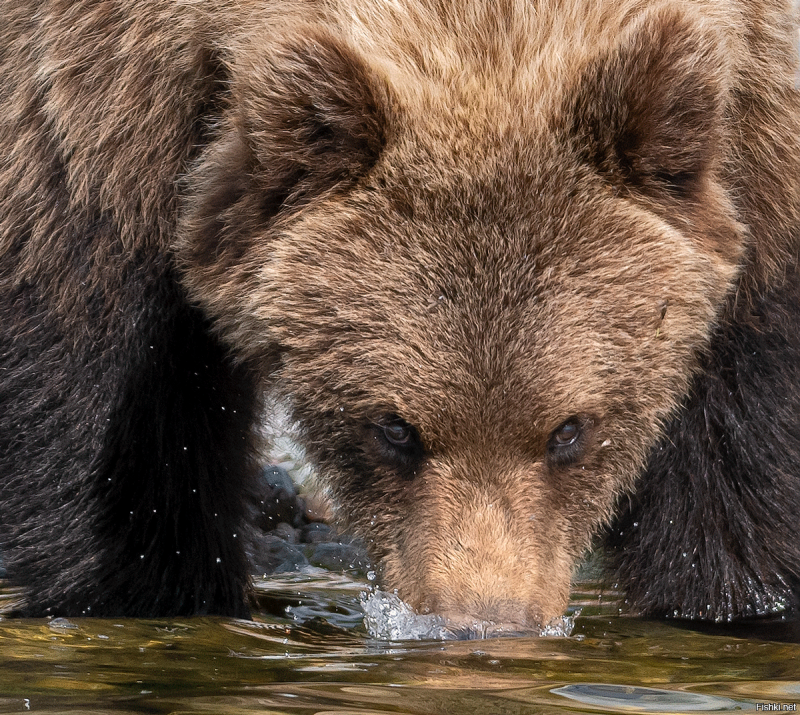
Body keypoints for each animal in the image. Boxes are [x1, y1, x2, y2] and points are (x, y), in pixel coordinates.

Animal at [1, 0, 800, 628]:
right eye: (394, 428)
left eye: (569, 429)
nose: (482, 621)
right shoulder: (92, 118)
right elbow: (112, 410)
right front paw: (140, 587)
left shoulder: (766, 126)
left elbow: (744, 448)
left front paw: (732, 600)